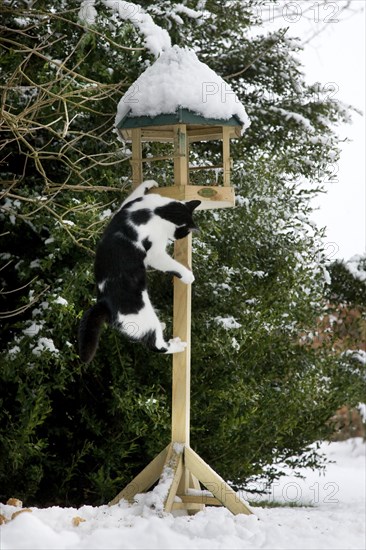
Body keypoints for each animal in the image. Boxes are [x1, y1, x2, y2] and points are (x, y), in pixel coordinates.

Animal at [78, 179, 202, 364]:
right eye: (183, 233)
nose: (175, 238)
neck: (157, 210)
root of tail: (104, 303)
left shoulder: (126, 206)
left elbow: (132, 194)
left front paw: (149, 183)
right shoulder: (155, 254)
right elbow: (171, 264)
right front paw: (189, 276)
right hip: (143, 318)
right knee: (155, 344)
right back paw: (178, 345)